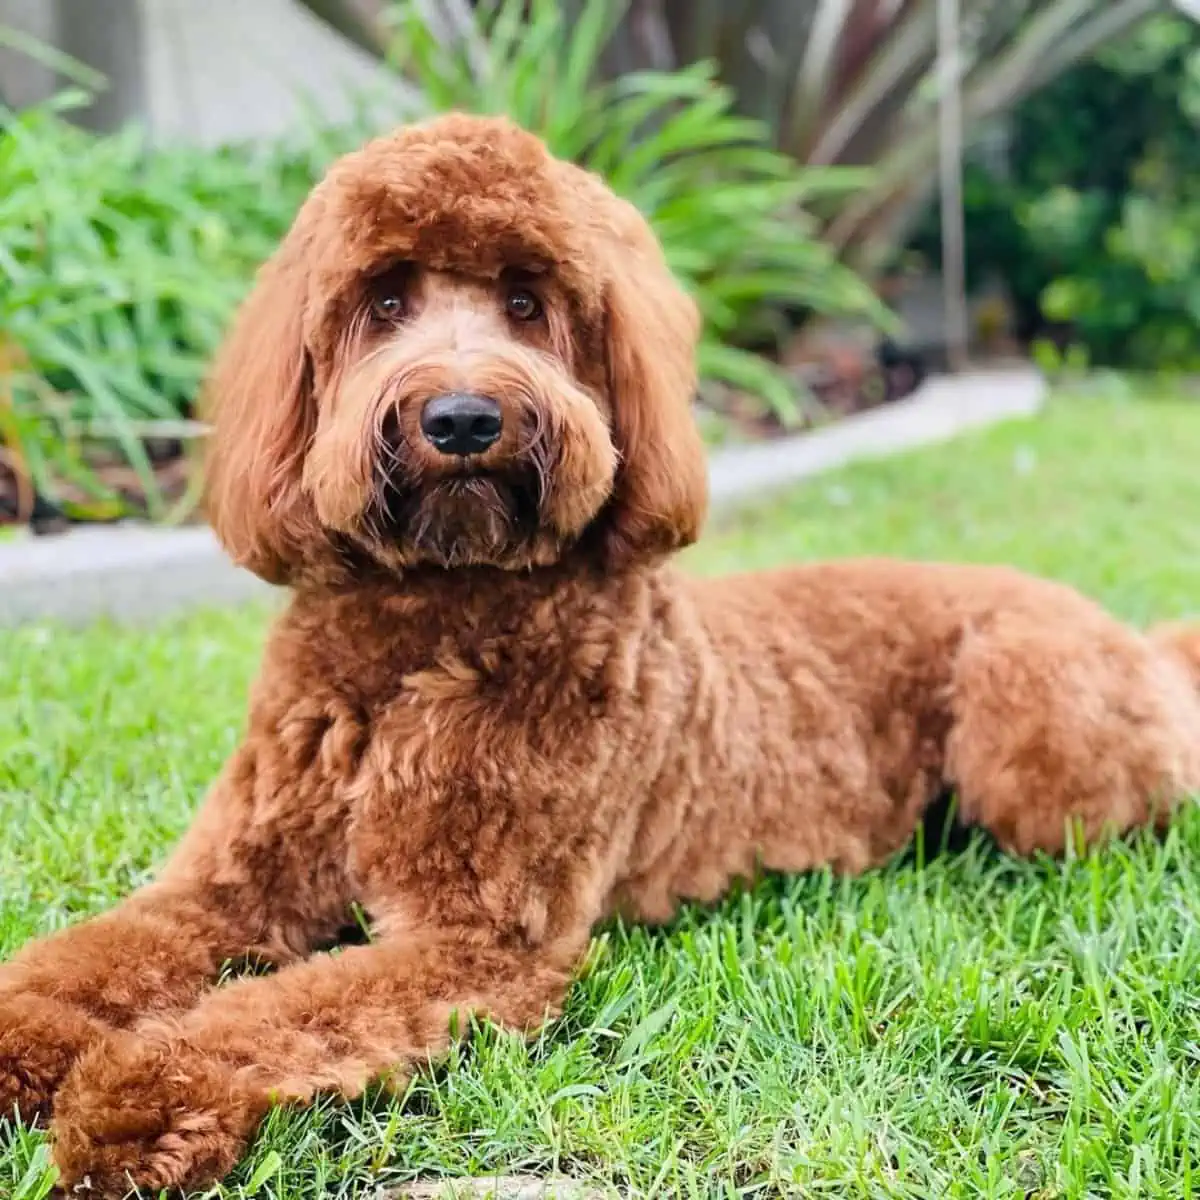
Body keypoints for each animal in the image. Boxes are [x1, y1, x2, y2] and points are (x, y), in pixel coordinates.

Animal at [2, 110, 1200, 1190]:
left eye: (528, 301)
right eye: (384, 298)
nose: (463, 418)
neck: (427, 634)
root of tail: (1134, 643)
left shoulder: (477, 937)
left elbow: (273, 1011)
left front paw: (132, 1096)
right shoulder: (226, 886)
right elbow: (91, 953)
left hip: (1031, 741)